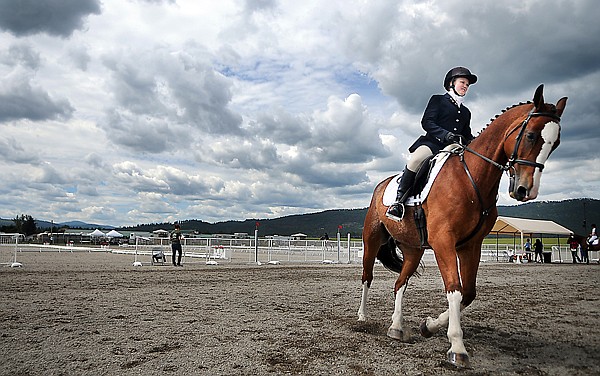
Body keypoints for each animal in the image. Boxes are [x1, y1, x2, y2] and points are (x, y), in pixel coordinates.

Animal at [358, 84, 568, 368]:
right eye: (531, 135)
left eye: (555, 144)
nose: (526, 190)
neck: (472, 178)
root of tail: (381, 184)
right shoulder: (443, 241)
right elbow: (454, 289)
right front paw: (457, 346)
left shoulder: (471, 245)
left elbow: (467, 293)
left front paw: (429, 326)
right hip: (372, 239)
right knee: (367, 277)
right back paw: (362, 317)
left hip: (413, 249)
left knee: (400, 283)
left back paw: (397, 327)